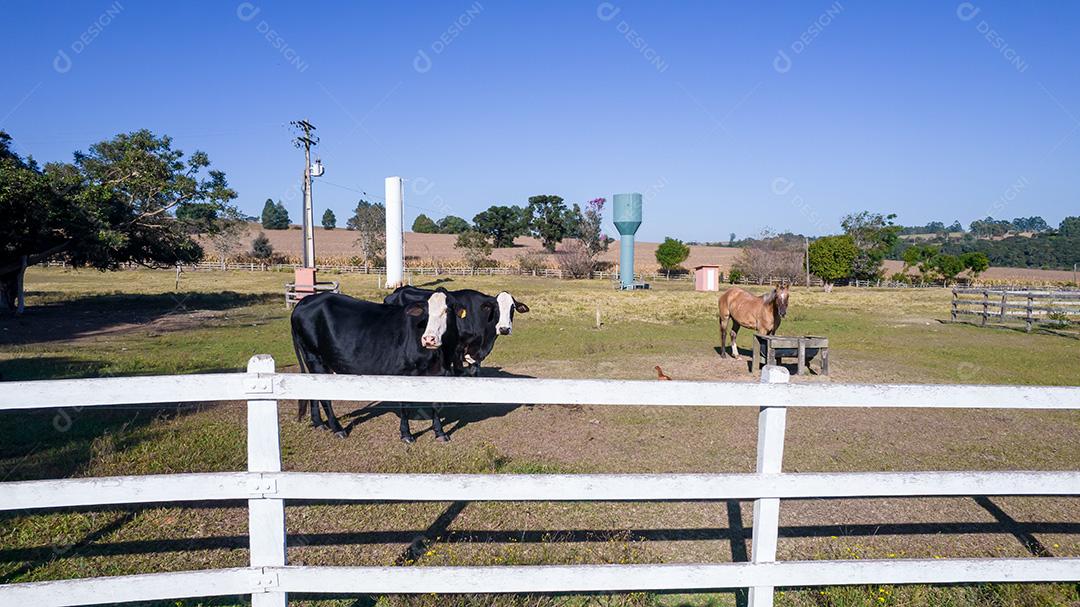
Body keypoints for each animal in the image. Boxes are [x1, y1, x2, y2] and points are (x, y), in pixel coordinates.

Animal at [290, 290, 458, 442]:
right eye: (426, 313)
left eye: (447, 310)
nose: (429, 339)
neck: (440, 357)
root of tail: (307, 299)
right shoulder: (405, 372)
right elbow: (405, 405)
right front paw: (406, 434)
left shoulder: (440, 375)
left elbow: (436, 403)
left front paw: (440, 433)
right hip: (315, 357)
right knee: (324, 397)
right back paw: (338, 429)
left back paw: (319, 423)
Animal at [384, 286, 529, 376]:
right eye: (496, 308)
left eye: (512, 308)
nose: (504, 329)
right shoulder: (458, 349)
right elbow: (459, 371)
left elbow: (474, 371)